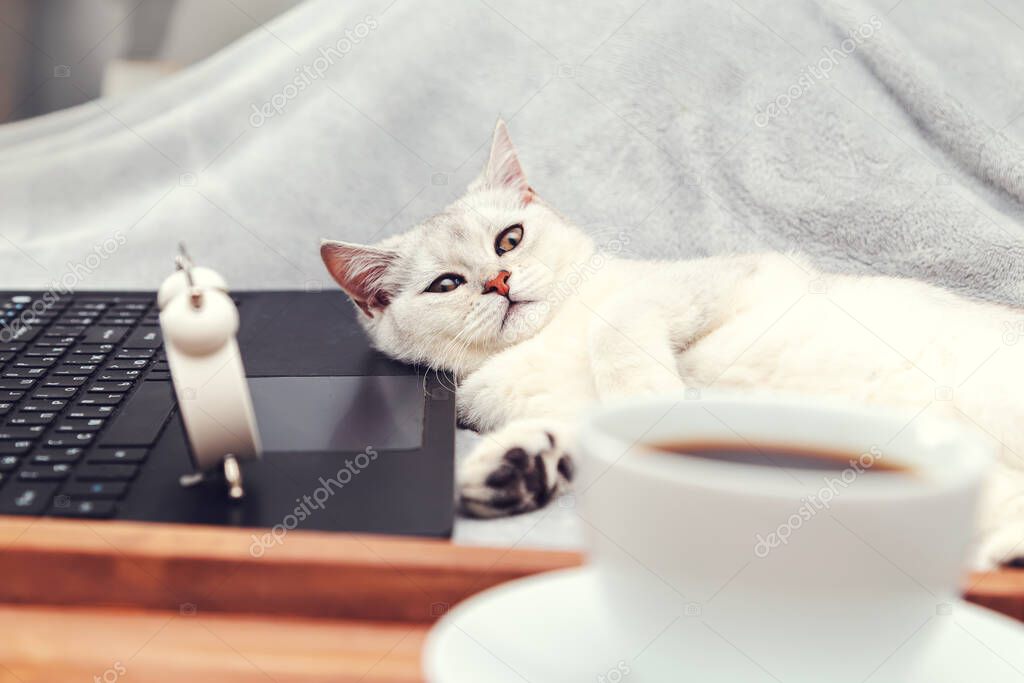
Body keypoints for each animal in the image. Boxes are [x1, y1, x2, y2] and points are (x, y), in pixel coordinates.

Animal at [323, 120, 1024, 569]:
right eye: (445, 284)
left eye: (509, 239)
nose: (498, 282)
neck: (548, 339)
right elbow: (582, 437)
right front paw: (515, 468)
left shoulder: (726, 279)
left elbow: (618, 326)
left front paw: (651, 395)